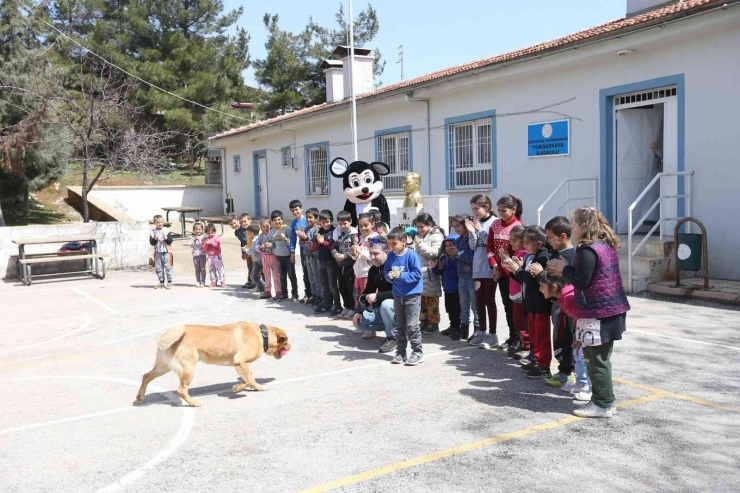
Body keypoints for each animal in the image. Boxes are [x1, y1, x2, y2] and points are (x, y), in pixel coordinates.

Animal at [135, 320, 290, 406]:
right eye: (286, 341)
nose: (290, 347)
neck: (262, 335)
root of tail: (167, 335)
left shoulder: (242, 364)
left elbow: (248, 378)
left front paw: (249, 387)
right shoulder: (239, 361)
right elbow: (249, 380)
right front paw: (247, 387)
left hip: (164, 367)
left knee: (146, 376)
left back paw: (140, 396)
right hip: (188, 368)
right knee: (181, 390)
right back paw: (194, 403)